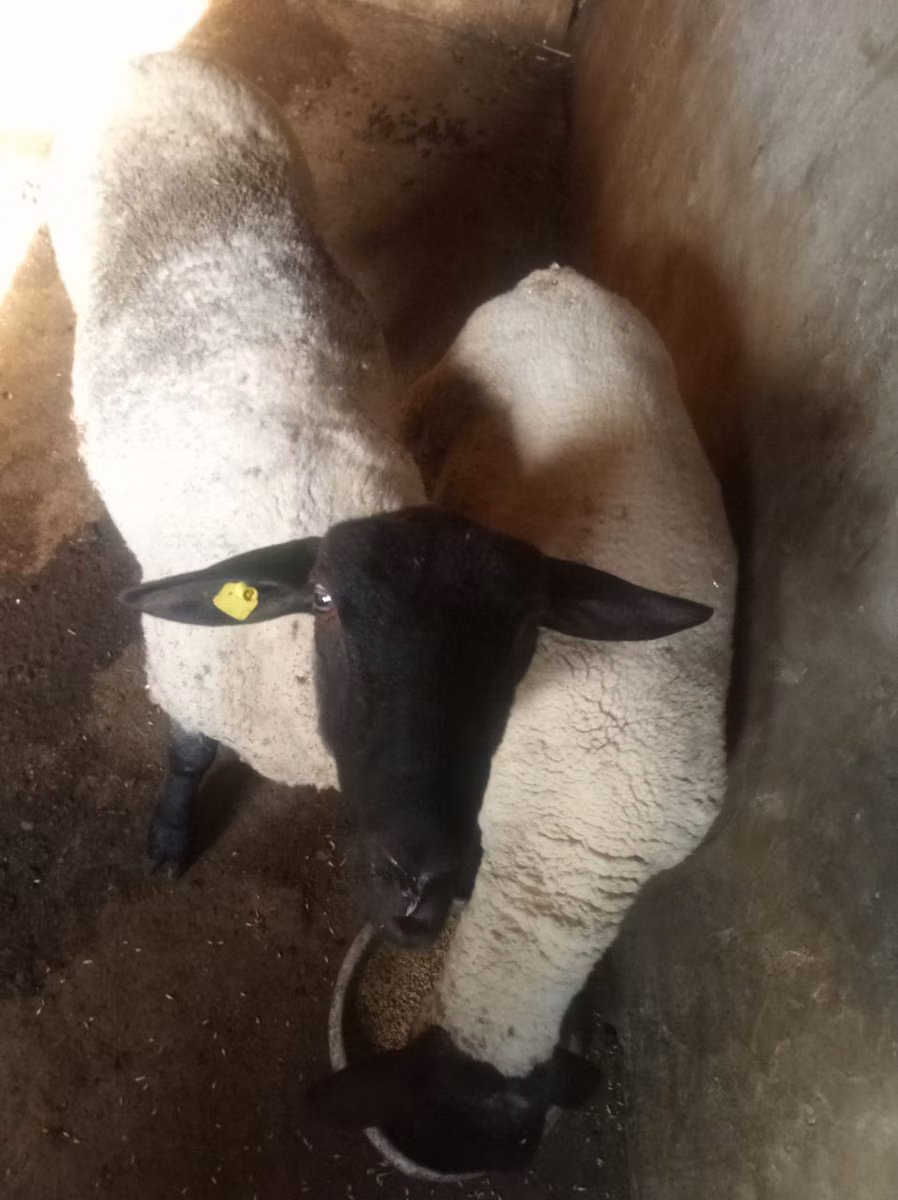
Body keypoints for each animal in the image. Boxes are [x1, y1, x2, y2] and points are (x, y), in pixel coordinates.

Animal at [49, 54, 712, 942]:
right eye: (324, 601)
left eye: (528, 624)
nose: (420, 881)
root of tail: (156, 62)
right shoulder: (191, 679)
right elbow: (188, 757)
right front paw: (169, 835)